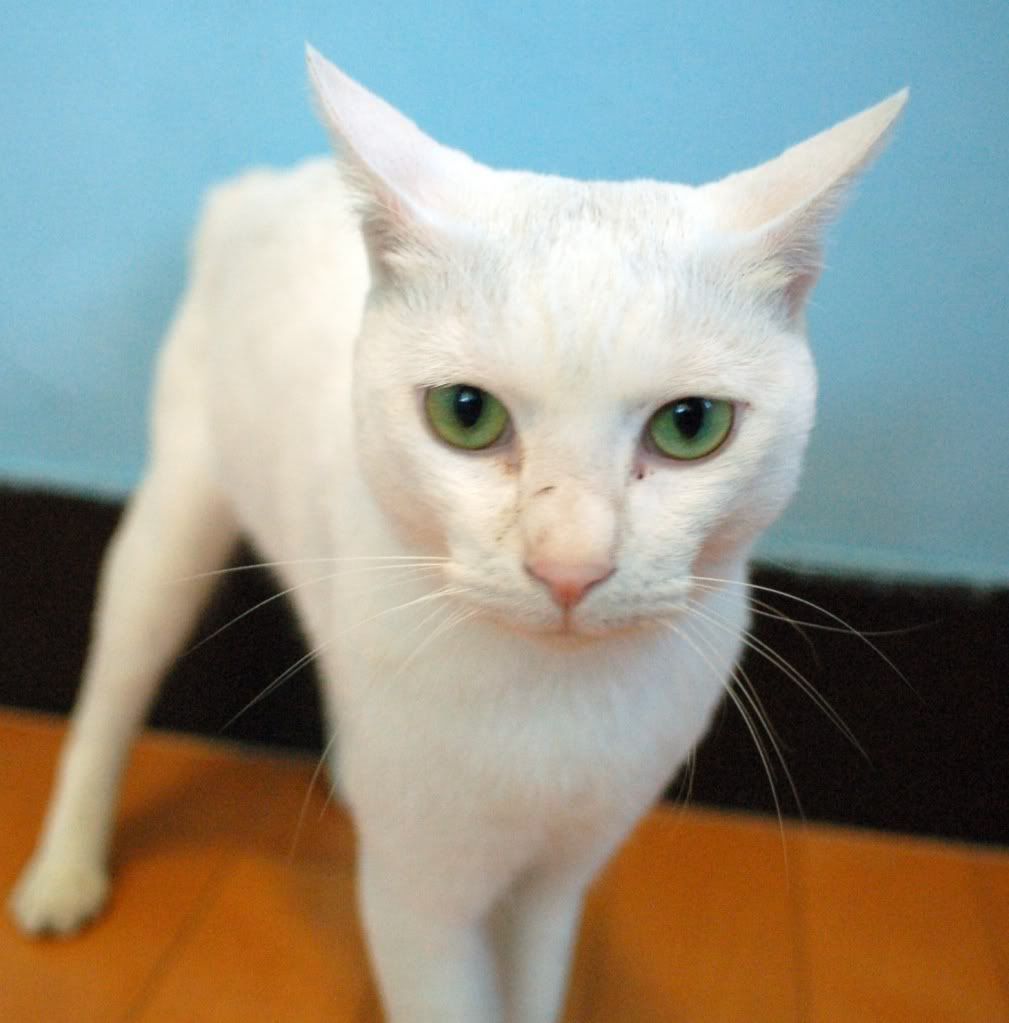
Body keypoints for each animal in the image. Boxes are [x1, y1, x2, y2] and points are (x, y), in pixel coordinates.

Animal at [7, 46, 904, 1023]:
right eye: (465, 413)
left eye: (691, 425)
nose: (568, 564)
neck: (551, 716)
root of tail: (262, 185)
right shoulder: (421, 904)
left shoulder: (555, 884)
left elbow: (533, 988)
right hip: (170, 525)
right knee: (109, 699)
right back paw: (64, 872)